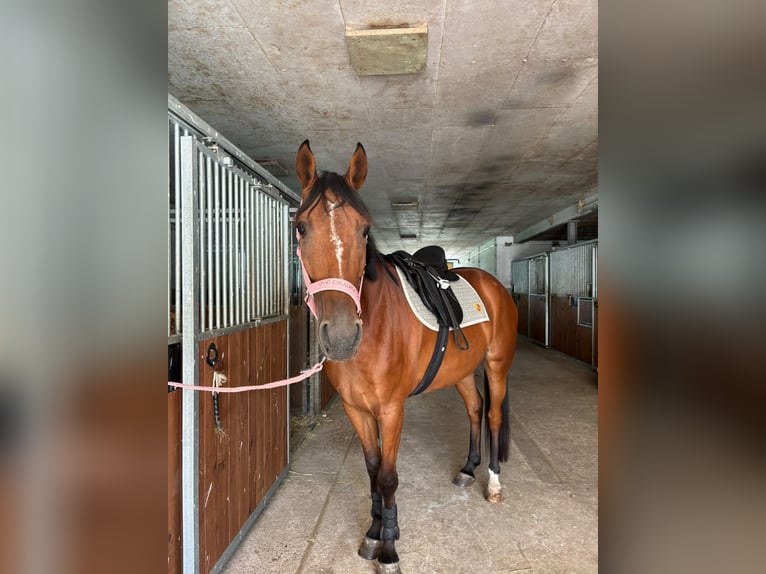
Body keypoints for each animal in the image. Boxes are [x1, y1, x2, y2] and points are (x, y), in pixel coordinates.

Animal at [293, 140, 518, 574]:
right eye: (300, 227)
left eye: (364, 229)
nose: (342, 337)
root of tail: (493, 284)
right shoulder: (356, 409)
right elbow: (370, 470)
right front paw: (374, 531)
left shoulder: (391, 410)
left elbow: (387, 477)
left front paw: (389, 548)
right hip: (461, 372)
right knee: (475, 408)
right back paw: (468, 469)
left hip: (497, 366)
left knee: (495, 415)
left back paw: (494, 485)